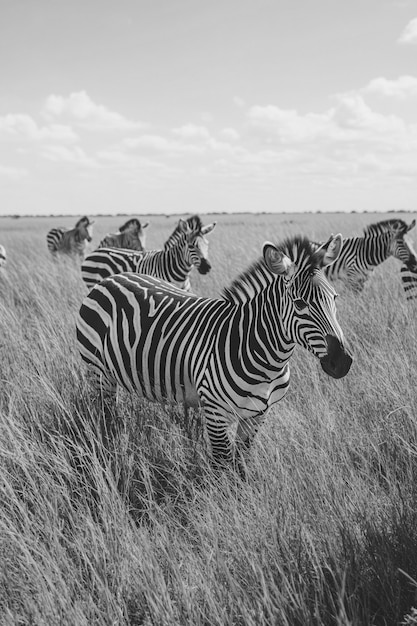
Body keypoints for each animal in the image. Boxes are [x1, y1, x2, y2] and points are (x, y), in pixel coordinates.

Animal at [77, 234, 352, 468]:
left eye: (335, 298)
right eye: (300, 304)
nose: (343, 362)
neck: (260, 353)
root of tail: (108, 280)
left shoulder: (257, 414)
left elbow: (241, 463)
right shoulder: (215, 413)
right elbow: (223, 466)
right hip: (96, 371)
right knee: (103, 417)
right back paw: (109, 451)